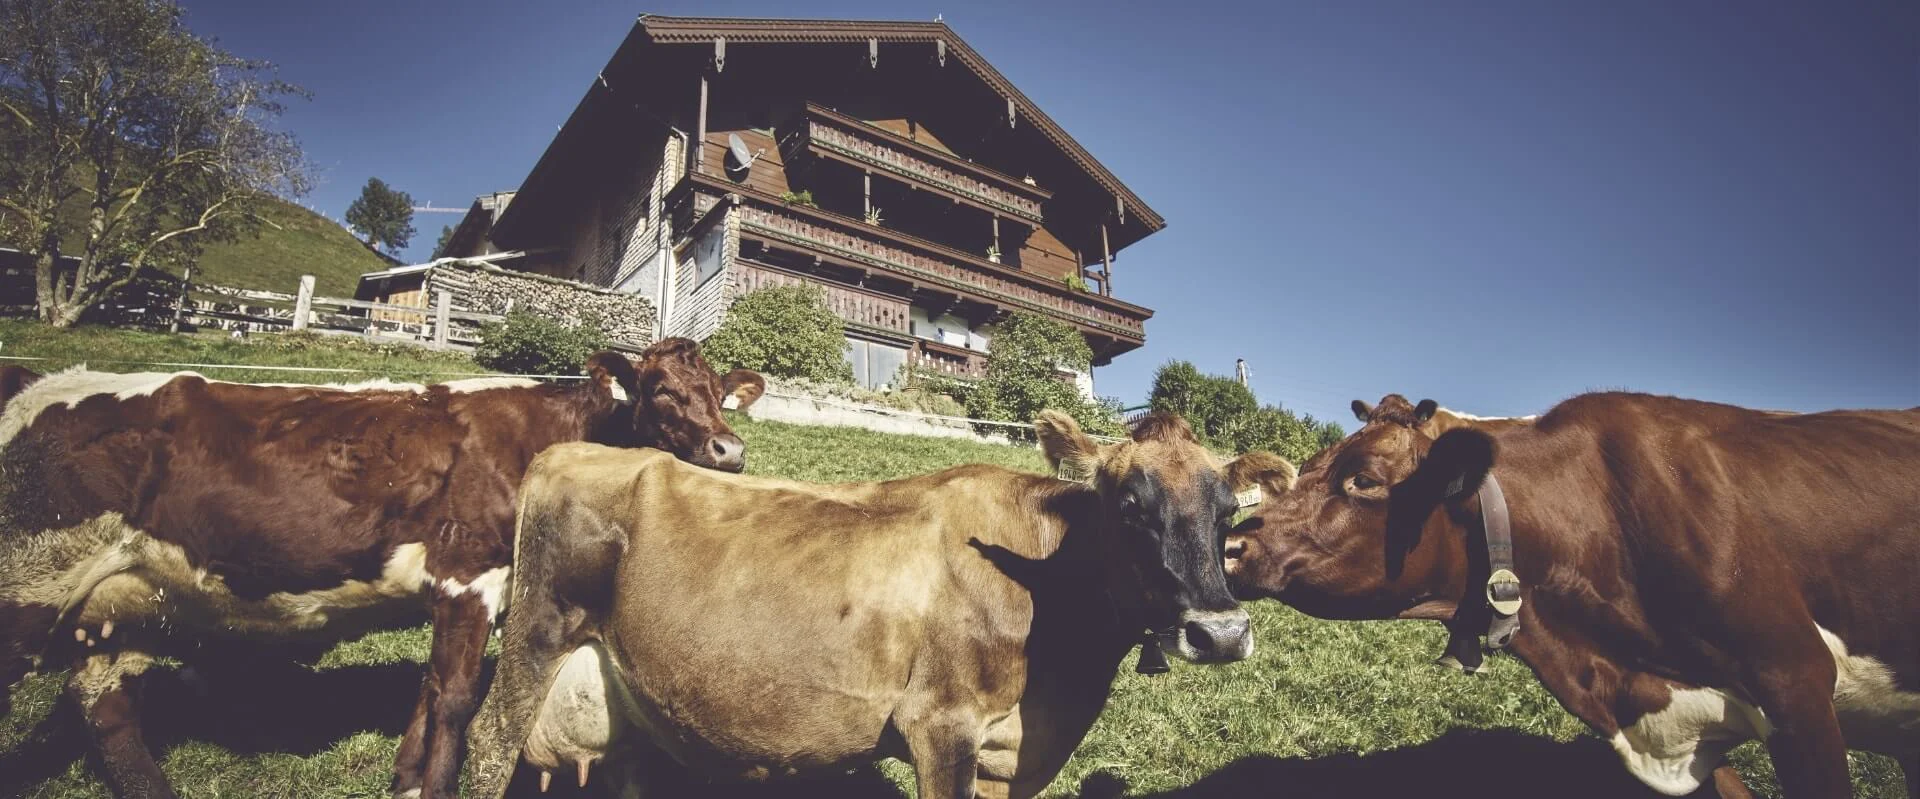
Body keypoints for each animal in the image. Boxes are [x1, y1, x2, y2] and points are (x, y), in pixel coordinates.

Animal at [0, 338, 764, 799]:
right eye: (660, 389)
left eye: (719, 391)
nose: (728, 449)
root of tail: (40, 382)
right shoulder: (469, 574)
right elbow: (454, 698)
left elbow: (428, 691)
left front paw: (405, 780)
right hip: (29, 586)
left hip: (115, 604)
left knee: (109, 711)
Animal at [462, 411, 1279, 799]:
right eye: (1129, 506)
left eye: (1227, 514)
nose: (1220, 631)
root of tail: (568, 451)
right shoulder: (941, 725)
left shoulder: (1004, 755)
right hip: (538, 633)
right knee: (487, 744)